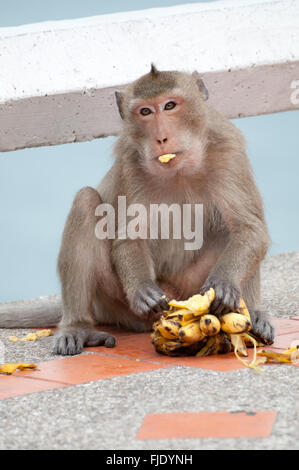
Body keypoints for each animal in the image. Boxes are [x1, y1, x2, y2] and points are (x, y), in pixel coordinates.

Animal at [0, 64, 276, 354]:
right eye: (145, 112)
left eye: (169, 105)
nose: (161, 138)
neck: (179, 169)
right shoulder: (129, 162)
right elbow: (129, 238)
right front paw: (142, 289)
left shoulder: (229, 150)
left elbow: (249, 229)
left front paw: (223, 283)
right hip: (116, 302)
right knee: (86, 202)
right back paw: (78, 327)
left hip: (189, 286)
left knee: (232, 231)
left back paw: (254, 316)